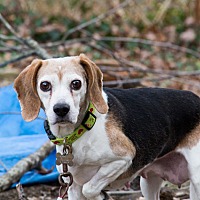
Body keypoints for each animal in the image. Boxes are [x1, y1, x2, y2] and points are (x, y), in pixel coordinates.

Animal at [14, 53, 200, 200]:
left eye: (76, 83)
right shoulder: (72, 187)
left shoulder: (124, 157)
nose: (61, 109)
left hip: (196, 177)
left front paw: (100, 196)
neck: (80, 133)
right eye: (45, 85)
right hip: (148, 183)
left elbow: (89, 188)